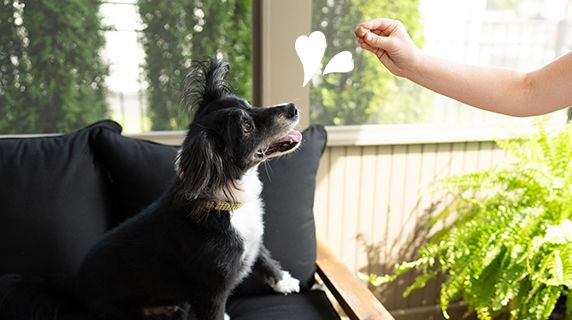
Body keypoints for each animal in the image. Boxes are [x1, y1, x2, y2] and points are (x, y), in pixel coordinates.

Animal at [0, 59, 302, 318]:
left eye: (249, 104)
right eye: (246, 127)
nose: (293, 108)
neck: (226, 199)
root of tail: (75, 287)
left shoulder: (253, 239)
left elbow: (263, 254)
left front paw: (284, 281)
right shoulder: (212, 290)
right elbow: (216, 310)